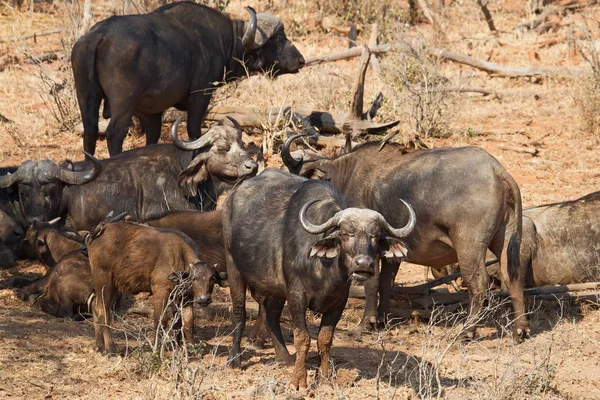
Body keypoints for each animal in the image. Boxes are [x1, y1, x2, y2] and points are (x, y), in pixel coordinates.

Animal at [223, 170, 414, 390]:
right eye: (345, 234)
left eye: (375, 236)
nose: (363, 264)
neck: (324, 269)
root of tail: (231, 197)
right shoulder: (296, 295)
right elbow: (302, 337)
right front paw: (299, 380)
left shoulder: (339, 300)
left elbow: (325, 339)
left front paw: (324, 377)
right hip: (233, 268)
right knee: (239, 313)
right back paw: (234, 359)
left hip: (276, 290)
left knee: (270, 316)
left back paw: (285, 358)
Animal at [284, 138, 528, 340]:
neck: (346, 176)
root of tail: (495, 169)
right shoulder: (392, 253)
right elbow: (386, 283)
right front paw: (381, 319)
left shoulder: (370, 249)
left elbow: (371, 284)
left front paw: (366, 323)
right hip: (504, 239)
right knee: (512, 277)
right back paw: (519, 329)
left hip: (469, 247)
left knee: (478, 283)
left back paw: (467, 331)